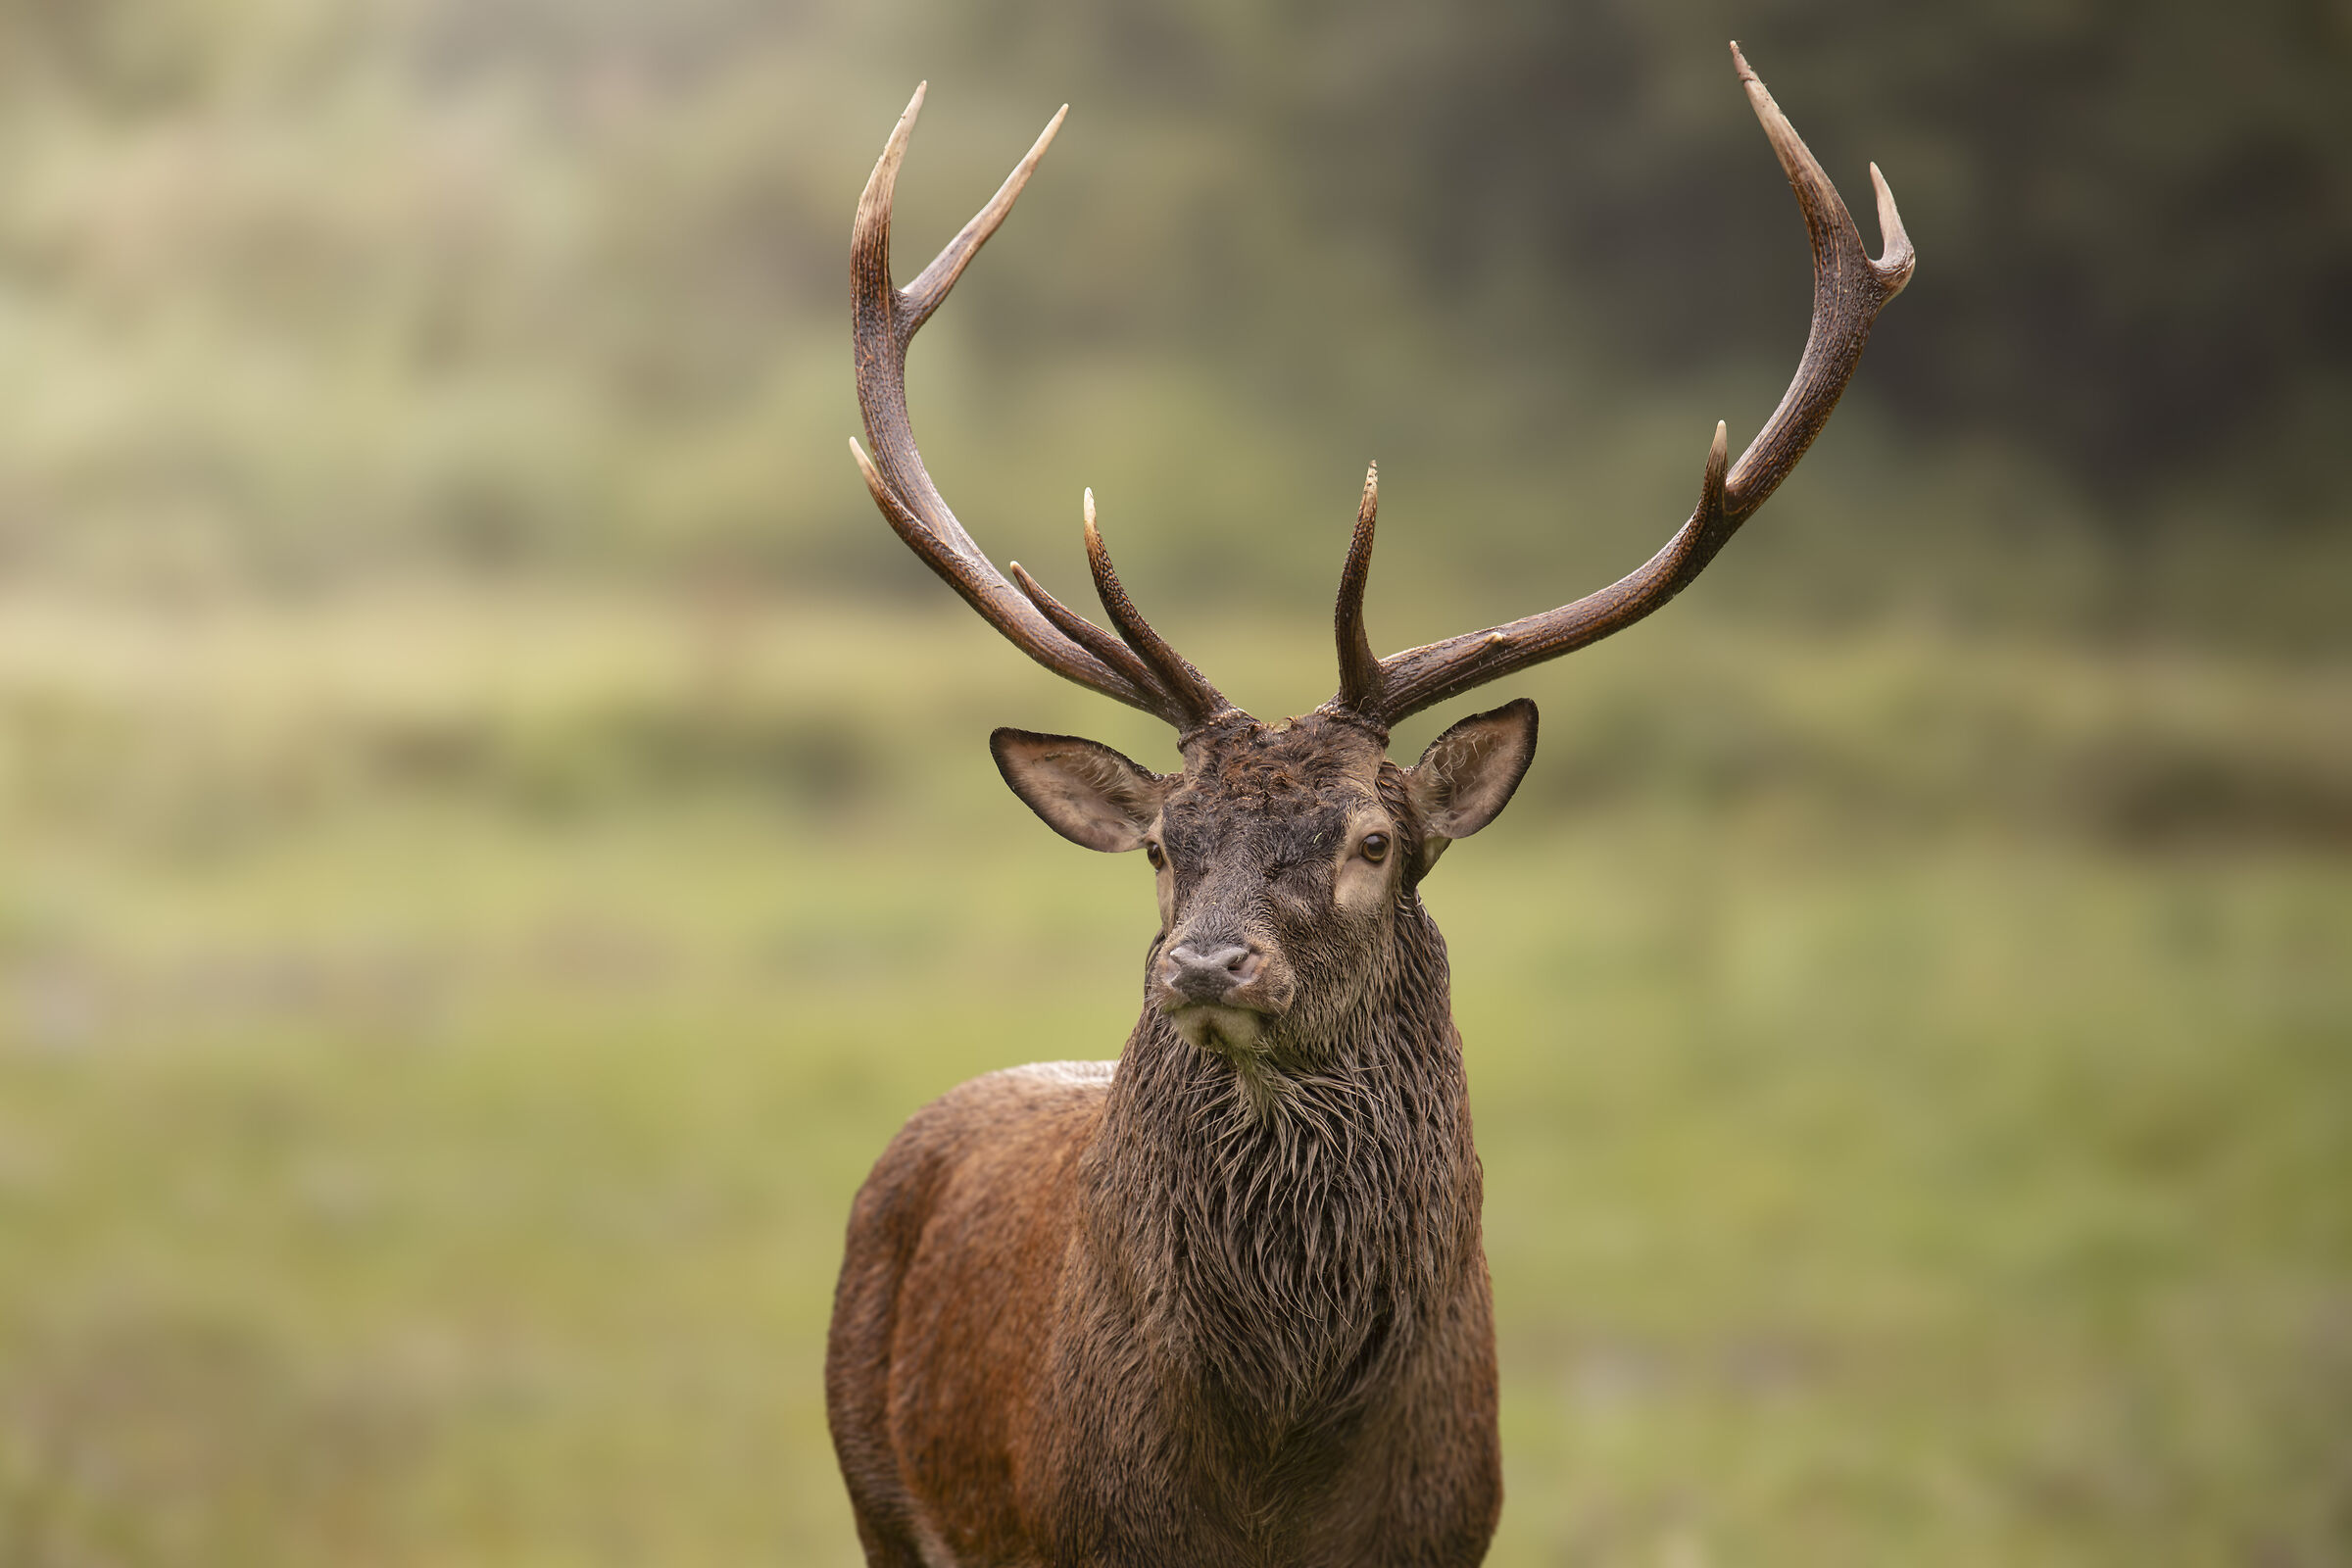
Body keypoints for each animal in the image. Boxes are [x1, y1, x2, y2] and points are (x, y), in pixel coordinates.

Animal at [826, 43, 1912, 1568]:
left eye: (1374, 841)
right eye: (1162, 846)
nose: (1206, 963)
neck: (1278, 1467)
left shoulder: (1450, 1525)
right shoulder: (1081, 1531)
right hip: (877, 1487)